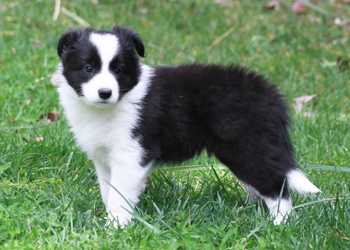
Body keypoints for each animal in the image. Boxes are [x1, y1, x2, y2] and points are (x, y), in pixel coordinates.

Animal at [54, 24, 320, 227]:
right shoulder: (104, 158)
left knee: (275, 183)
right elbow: (108, 190)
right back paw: (248, 211)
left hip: (246, 146)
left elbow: (120, 195)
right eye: (88, 68)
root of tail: (270, 96)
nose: (105, 92)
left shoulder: (131, 154)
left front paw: (114, 227)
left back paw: (280, 224)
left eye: (118, 70)